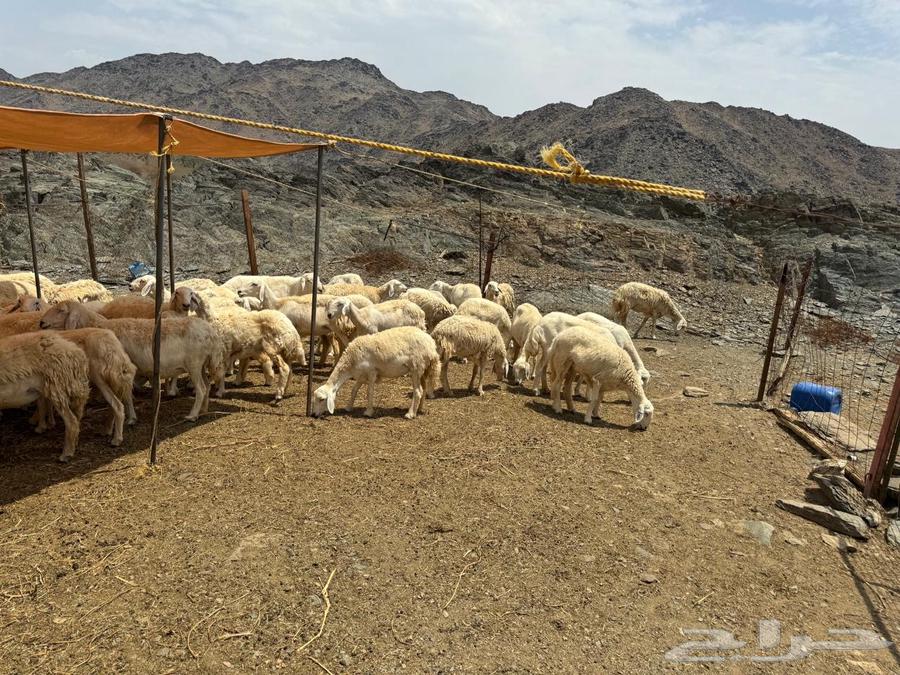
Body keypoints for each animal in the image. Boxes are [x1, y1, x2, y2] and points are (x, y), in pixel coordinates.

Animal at [0, 332, 90, 461]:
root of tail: (78, 354)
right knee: (77, 418)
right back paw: (74, 444)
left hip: (58, 388)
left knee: (72, 422)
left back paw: (65, 455)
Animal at [40, 301, 220, 421]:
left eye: (61, 310)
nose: (41, 322)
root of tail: (211, 332)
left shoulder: (124, 369)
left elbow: (126, 395)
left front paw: (131, 417)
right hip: (202, 364)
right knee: (207, 385)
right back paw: (204, 410)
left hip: (194, 364)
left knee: (201, 388)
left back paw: (192, 415)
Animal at [311, 326, 439, 419]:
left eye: (322, 399)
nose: (313, 415)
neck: (350, 362)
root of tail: (431, 346)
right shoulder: (361, 375)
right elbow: (354, 390)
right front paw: (348, 407)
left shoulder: (371, 372)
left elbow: (369, 392)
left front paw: (368, 412)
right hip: (423, 369)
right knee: (423, 388)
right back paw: (419, 409)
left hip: (416, 368)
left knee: (418, 391)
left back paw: (410, 414)